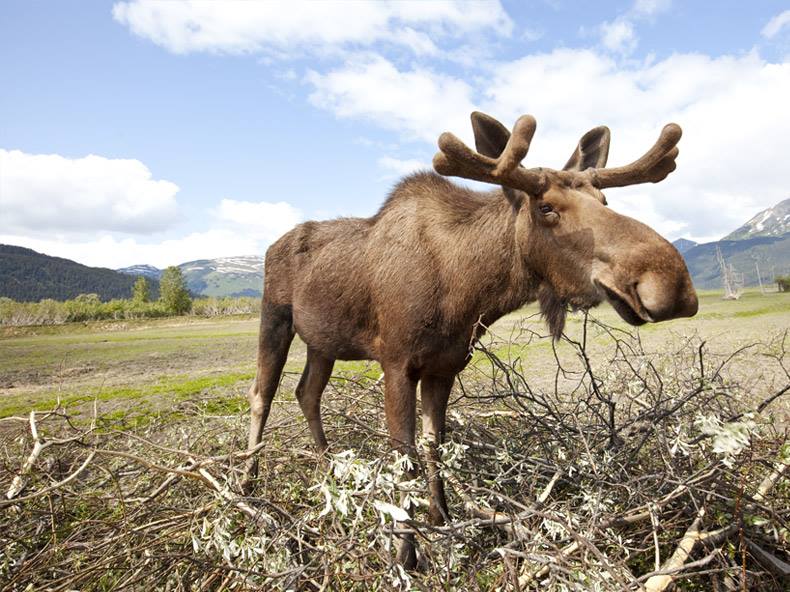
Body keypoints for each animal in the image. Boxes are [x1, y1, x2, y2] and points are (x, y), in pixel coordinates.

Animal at [242, 112, 698, 567]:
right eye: (546, 207)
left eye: (604, 201)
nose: (672, 284)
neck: (469, 292)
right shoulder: (396, 362)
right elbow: (404, 457)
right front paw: (405, 552)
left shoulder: (444, 367)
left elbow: (434, 446)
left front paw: (441, 520)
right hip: (276, 316)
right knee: (262, 393)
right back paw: (248, 488)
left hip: (323, 342)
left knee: (307, 393)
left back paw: (329, 475)